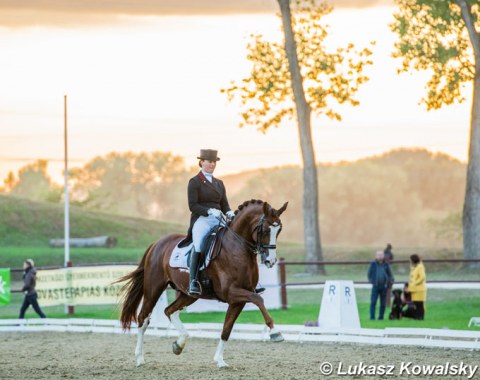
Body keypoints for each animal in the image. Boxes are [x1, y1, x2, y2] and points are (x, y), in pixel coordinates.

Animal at [117, 200, 286, 366]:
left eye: (279, 230)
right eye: (265, 230)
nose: (270, 261)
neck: (237, 248)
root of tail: (156, 244)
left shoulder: (238, 300)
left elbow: (227, 329)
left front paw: (219, 360)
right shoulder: (231, 292)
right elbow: (259, 299)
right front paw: (275, 332)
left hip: (189, 295)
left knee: (169, 310)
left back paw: (179, 344)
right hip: (154, 289)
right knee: (143, 319)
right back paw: (139, 358)